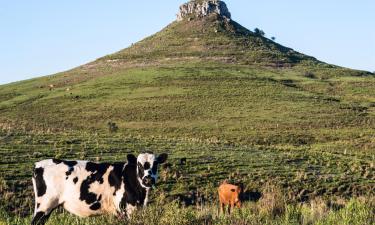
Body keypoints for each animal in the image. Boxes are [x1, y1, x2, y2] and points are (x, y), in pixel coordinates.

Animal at [30, 152, 168, 224]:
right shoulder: (125, 210)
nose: (148, 179)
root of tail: (39, 164)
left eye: (156, 164)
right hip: (44, 206)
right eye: (139, 165)